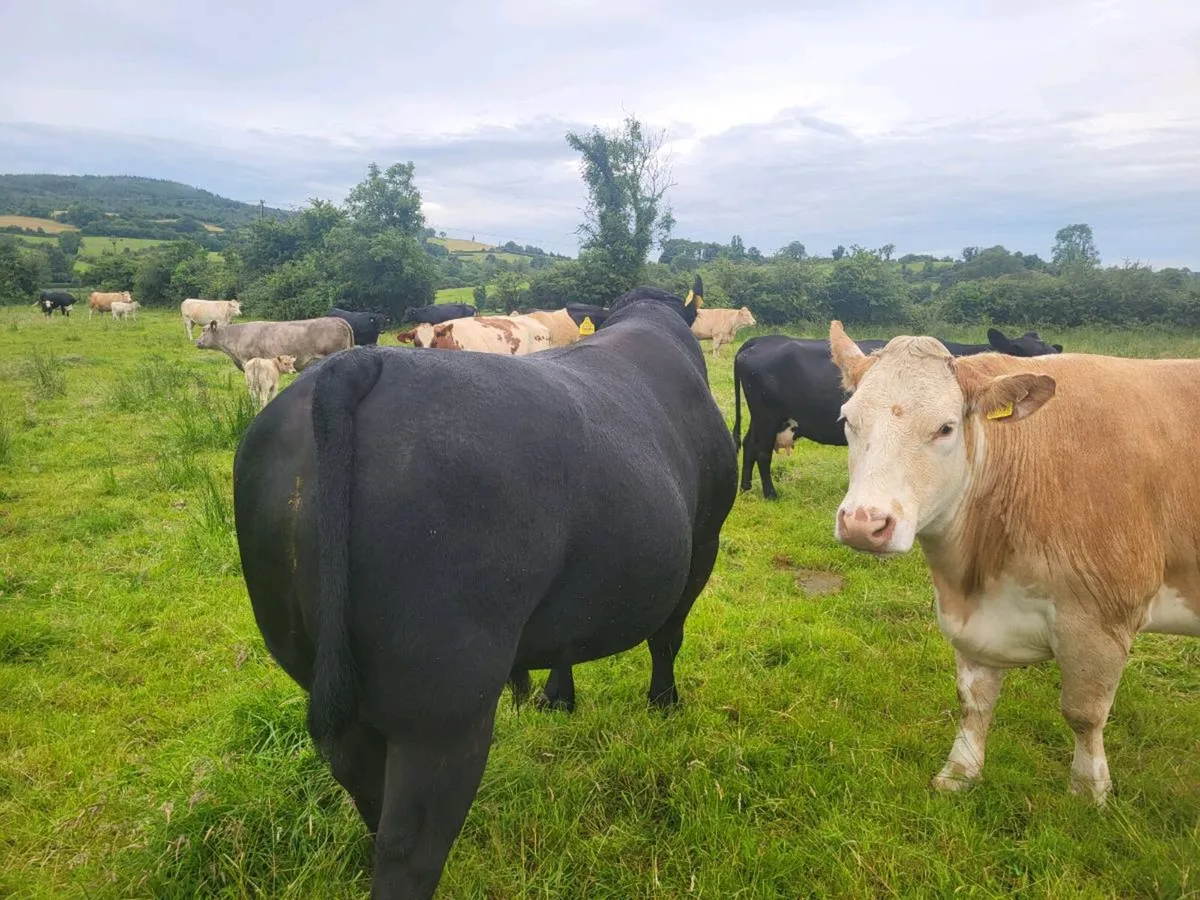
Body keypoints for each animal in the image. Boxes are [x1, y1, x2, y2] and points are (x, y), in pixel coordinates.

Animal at [231, 284, 737, 898]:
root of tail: (357, 364)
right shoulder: (703, 542)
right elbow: (667, 637)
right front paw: (663, 702)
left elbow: (568, 642)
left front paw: (557, 699)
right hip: (445, 707)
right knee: (410, 846)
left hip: (326, 675)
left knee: (364, 789)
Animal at [733, 328, 1064, 499]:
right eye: (1020, 350)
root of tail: (760, 340)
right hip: (768, 415)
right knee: (761, 451)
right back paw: (770, 493)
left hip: (761, 418)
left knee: (749, 445)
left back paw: (745, 487)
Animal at [828, 321, 1200, 804]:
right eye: (847, 421)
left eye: (945, 428)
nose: (863, 523)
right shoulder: (973, 620)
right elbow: (974, 699)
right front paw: (960, 772)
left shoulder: (1103, 618)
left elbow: (1084, 712)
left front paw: (1088, 792)